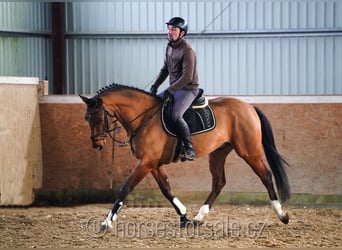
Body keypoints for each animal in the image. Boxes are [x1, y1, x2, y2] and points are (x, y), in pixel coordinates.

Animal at [79, 83, 290, 229]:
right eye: (86, 118)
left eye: (98, 117)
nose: (97, 144)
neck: (144, 117)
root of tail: (250, 107)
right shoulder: (153, 164)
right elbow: (166, 189)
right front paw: (184, 216)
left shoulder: (145, 163)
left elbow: (125, 188)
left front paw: (107, 222)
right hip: (218, 153)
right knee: (219, 182)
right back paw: (198, 217)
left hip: (249, 151)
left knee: (266, 176)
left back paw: (282, 215)